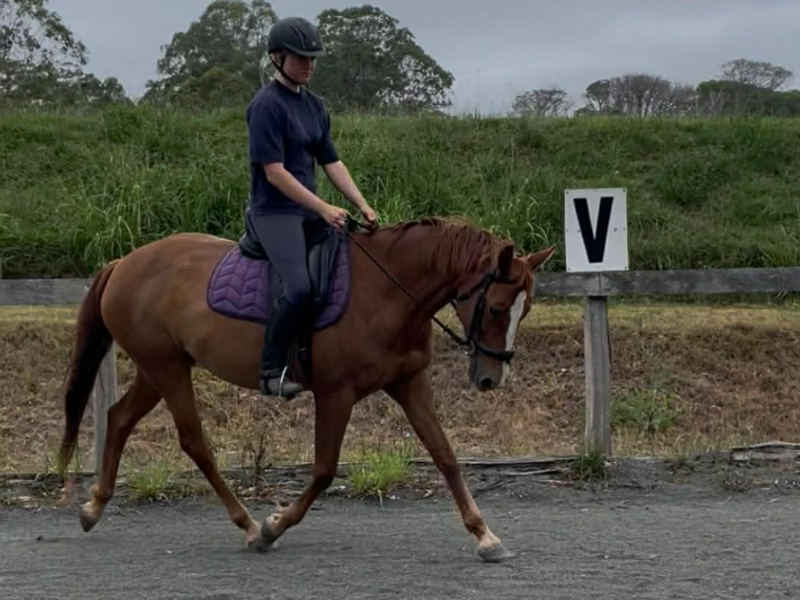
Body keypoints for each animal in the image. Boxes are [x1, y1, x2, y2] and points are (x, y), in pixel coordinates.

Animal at [58, 216, 555, 562]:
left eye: (526, 310)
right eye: (496, 307)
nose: (491, 379)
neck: (387, 293)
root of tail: (125, 262)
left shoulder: (409, 384)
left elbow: (445, 455)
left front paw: (486, 536)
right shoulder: (336, 393)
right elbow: (323, 471)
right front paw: (274, 526)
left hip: (160, 367)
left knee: (119, 417)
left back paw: (93, 507)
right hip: (166, 368)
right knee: (194, 441)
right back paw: (248, 525)